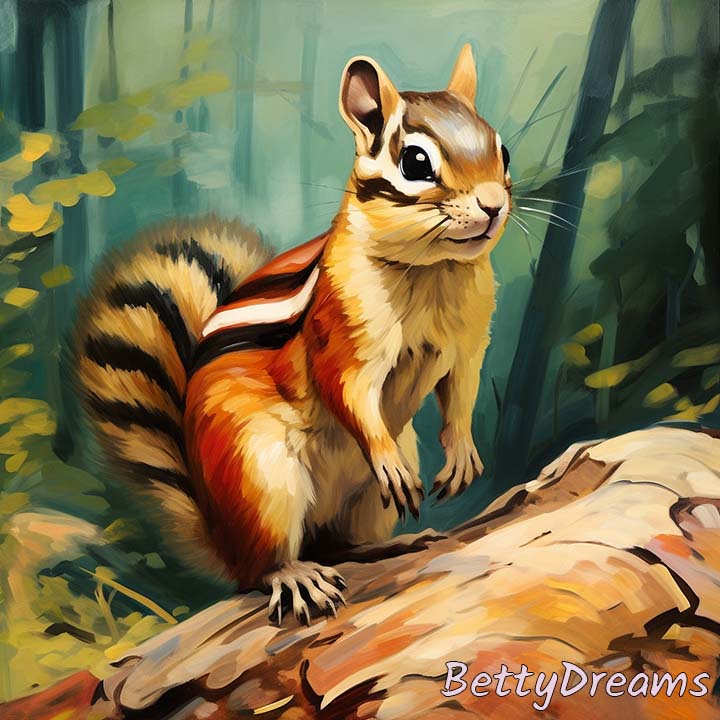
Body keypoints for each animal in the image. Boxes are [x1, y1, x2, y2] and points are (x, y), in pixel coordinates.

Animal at [74, 44, 511, 625]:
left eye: (503, 151)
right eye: (415, 162)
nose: (493, 204)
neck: (433, 271)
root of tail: (219, 532)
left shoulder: (468, 344)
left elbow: (460, 393)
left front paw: (462, 454)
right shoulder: (340, 331)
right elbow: (345, 388)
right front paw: (383, 452)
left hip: (364, 498)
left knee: (338, 544)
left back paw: (391, 544)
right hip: (260, 477)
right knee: (264, 566)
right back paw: (294, 575)